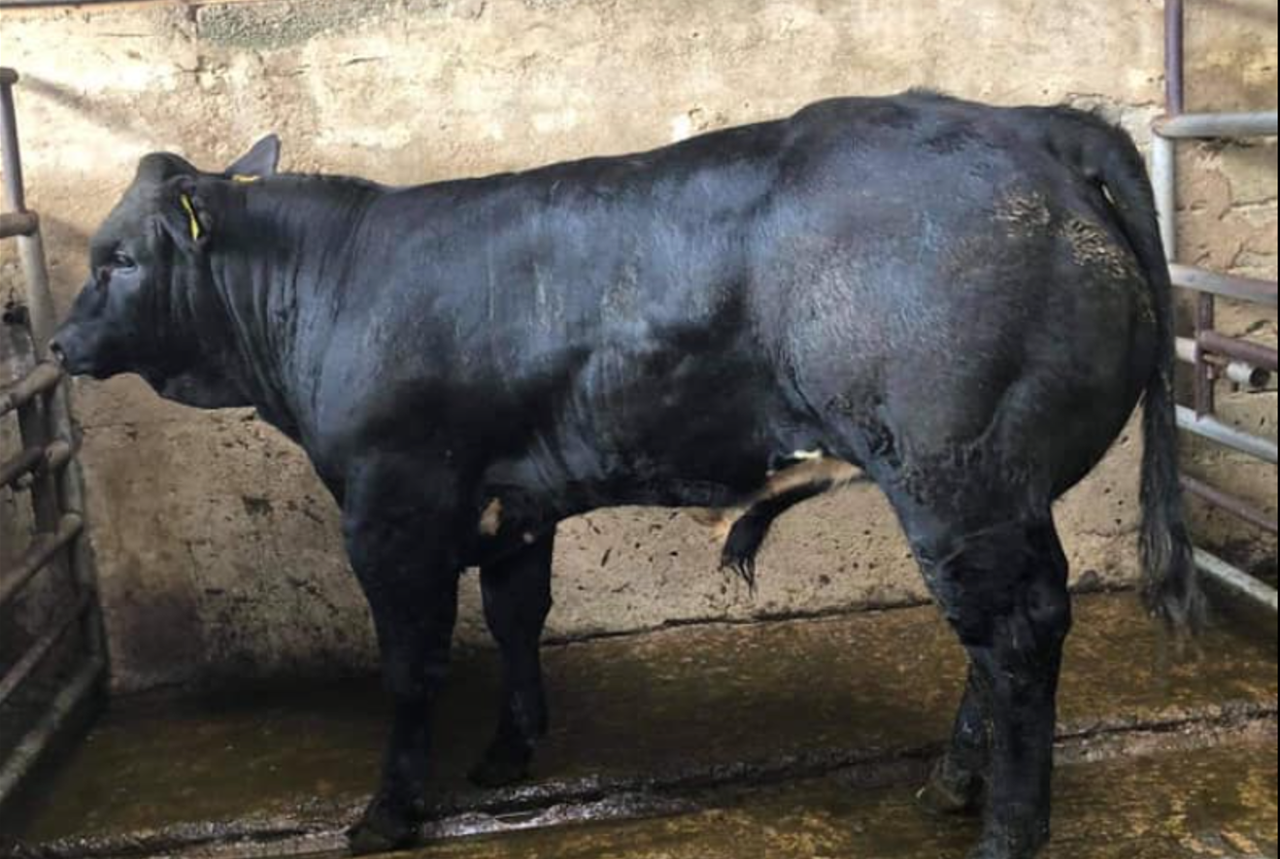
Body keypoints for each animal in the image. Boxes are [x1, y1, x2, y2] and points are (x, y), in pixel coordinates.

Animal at [51, 91, 1202, 859]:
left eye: (119, 257)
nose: (58, 344)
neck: (325, 291)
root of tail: (1025, 123)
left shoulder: (391, 505)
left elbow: (413, 664)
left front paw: (386, 812)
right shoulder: (514, 497)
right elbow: (517, 615)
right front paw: (507, 753)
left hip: (955, 475)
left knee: (1014, 634)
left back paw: (1006, 825)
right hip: (990, 493)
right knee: (997, 636)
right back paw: (953, 784)